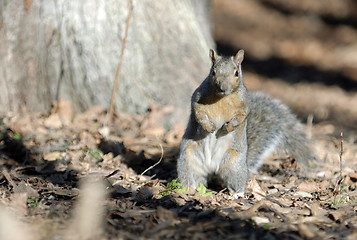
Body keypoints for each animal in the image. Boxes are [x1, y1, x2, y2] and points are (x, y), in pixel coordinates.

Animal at [177, 49, 312, 197]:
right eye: (213, 72)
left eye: (236, 73)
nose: (223, 87)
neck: (222, 98)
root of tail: (212, 169)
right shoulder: (198, 97)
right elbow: (198, 112)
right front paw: (209, 126)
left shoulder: (245, 103)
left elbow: (241, 117)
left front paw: (227, 127)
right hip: (189, 160)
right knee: (192, 177)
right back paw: (188, 189)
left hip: (234, 165)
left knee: (236, 182)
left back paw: (237, 194)